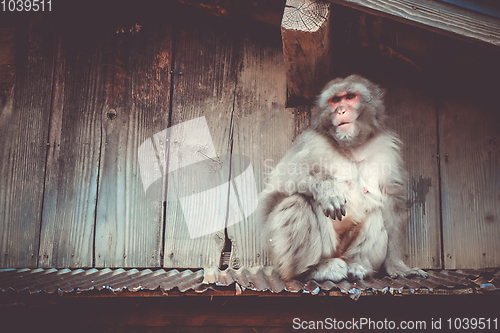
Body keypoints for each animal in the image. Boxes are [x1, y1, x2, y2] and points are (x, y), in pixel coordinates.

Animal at [258, 74, 426, 280]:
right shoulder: (312, 142)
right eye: (335, 100)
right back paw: (312, 270)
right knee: (298, 201)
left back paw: (356, 265)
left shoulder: (387, 149)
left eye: (350, 96)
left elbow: (392, 203)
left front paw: (398, 267)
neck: (352, 147)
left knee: (377, 210)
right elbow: (279, 185)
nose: (340, 110)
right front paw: (327, 190)